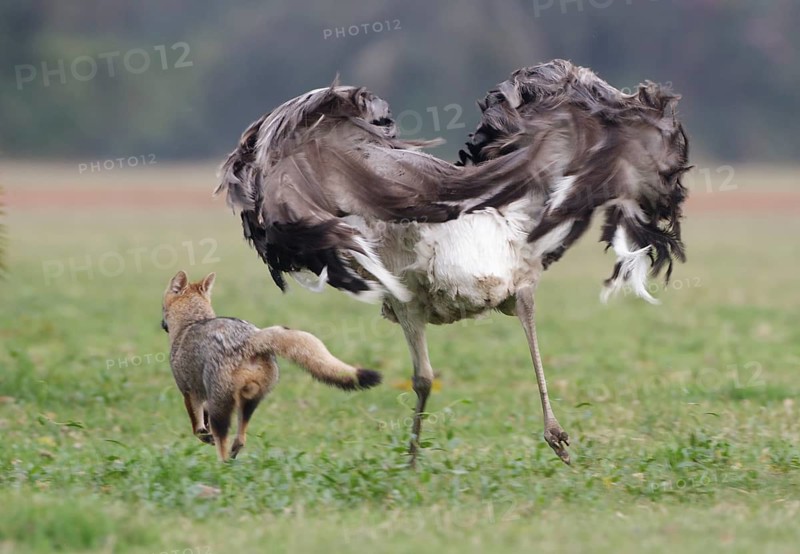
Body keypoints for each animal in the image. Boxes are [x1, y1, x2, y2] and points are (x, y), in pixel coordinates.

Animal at [161, 270, 382, 461]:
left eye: (162, 308)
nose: (162, 325)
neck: (191, 323)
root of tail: (251, 338)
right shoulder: (204, 397)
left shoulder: (189, 392)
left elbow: (196, 428)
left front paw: (204, 436)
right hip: (249, 401)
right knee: (240, 438)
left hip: (222, 405)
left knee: (223, 442)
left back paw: (222, 467)